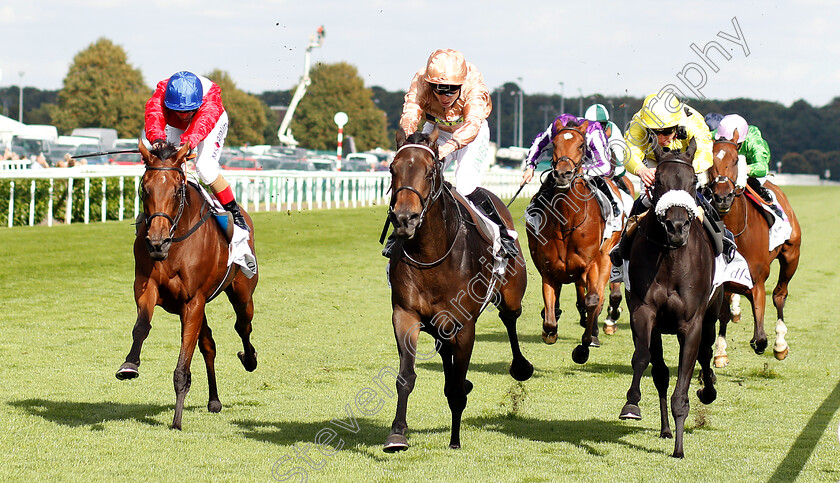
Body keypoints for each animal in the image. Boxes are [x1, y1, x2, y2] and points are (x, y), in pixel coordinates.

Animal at [116, 141, 258, 432]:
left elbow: (183, 365)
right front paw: (130, 364)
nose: (157, 242)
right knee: (209, 344)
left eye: (176, 190)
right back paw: (214, 400)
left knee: (243, 326)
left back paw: (249, 359)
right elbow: (141, 327)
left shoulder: (193, 301)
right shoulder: (147, 288)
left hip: (242, 292)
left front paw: (177, 421)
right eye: (145, 188)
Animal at [386, 129, 536, 454]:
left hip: (511, 294)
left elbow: (457, 383)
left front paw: (455, 439)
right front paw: (397, 434)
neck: (432, 253)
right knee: (445, 351)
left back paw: (521, 366)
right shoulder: (406, 315)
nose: (404, 219)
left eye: (430, 172)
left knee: (510, 318)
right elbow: (406, 376)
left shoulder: (465, 325)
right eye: (393, 169)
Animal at [532, 116, 624, 364]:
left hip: (606, 257)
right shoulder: (548, 268)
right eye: (554, 145)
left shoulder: (591, 263)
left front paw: (584, 346)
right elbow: (550, 315)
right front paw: (550, 329)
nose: (562, 174)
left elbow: (593, 300)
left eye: (582, 146)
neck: (567, 220)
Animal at [620, 139, 724, 458]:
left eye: (693, 182)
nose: (676, 228)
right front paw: (631, 404)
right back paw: (666, 429)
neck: (671, 259)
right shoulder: (644, 312)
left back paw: (708, 390)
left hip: (711, 316)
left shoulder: (691, 324)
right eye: (659, 182)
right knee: (661, 373)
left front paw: (679, 448)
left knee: (705, 354)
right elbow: (643, 358)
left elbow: (685, 381)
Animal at [708, 138, 800, 364]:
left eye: (735, 160)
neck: (737, 232)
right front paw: (720, 351)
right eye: (709, 160)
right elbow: (722, 314)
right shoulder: (724, 281)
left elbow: (760, 338)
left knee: (779, 294)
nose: (722, 196)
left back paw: (780, 344)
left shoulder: (757, 281)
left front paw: (769, 343)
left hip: (791, 257)